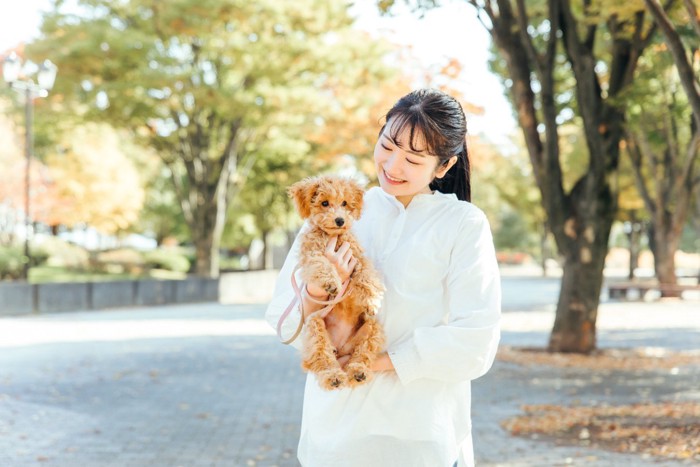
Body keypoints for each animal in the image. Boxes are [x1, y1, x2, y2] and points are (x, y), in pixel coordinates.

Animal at [288, 176, 386, 392]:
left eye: (344, 203)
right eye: (324, 203)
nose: (340, 220)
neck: (332, 236)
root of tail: (340, 348)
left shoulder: (357, 258)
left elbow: (367, 276)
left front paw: (371, 300)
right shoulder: (311, 255)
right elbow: (321, 264)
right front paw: (331, 282)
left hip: (371, 328)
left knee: (363, 354)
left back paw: (358, 372)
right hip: (315, 326)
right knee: (322, 358)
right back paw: (333, 377)